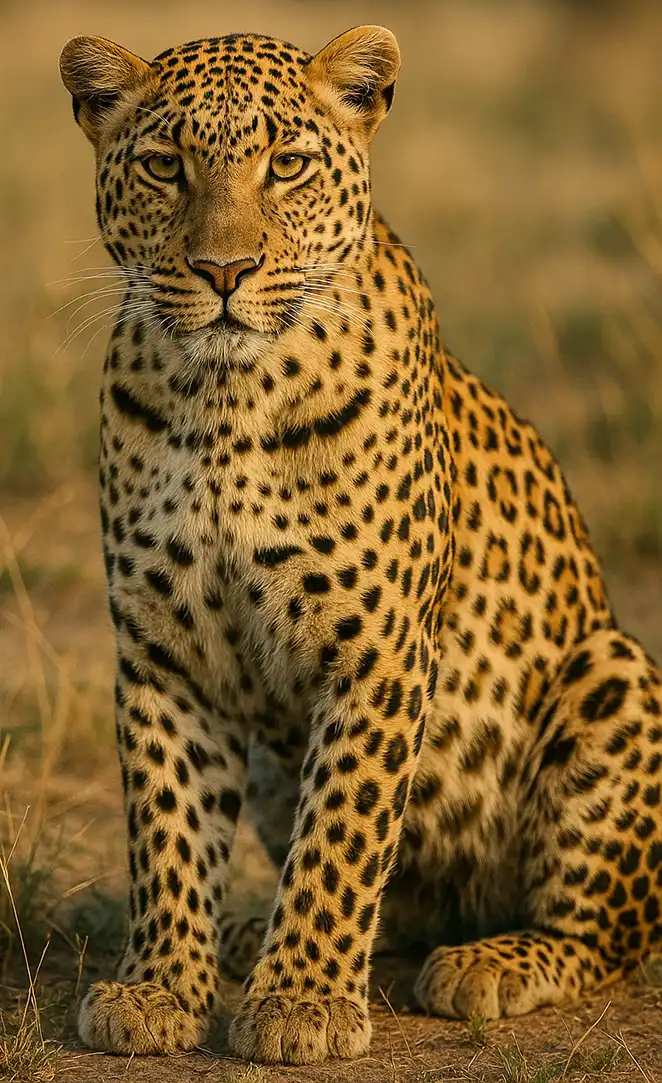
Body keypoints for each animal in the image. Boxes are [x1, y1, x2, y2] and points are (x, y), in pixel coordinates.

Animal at [58, 24, 662, 1066]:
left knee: (606, 931)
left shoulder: (377, 651)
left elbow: (342, 831)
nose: (224, 272)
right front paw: (158, 986)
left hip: (614, 673)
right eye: (166, 165)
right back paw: (250, 934)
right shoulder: (162, 648)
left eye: (288, 166)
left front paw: (301, 1001)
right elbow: (167, 822)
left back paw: (488, 962)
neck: (224, 400)